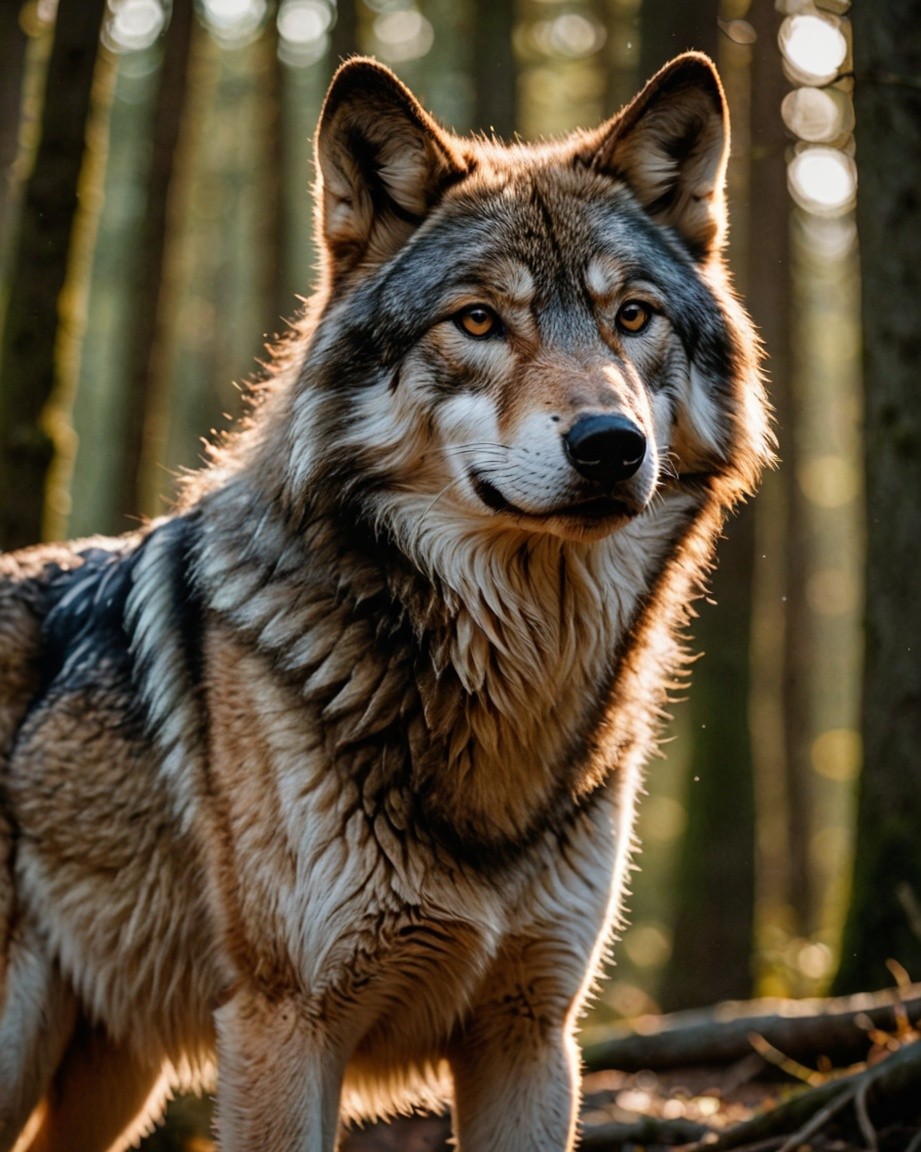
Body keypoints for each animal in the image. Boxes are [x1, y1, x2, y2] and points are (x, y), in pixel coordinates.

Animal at [0, 52, 771, 1152]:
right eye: (479, 319)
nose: (610, 445)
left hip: (113, 1079)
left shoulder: (531, 1035)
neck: (510, 680)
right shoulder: (286, 1028)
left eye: (631, 316)